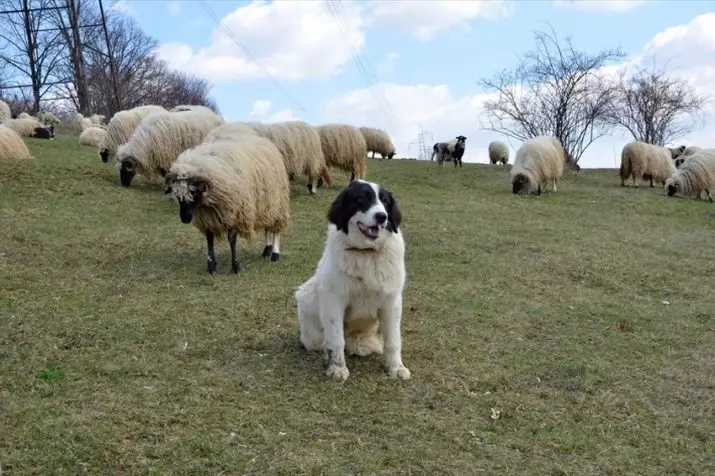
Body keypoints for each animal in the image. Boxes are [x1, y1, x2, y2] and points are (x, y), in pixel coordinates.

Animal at [164, 134, 290, 276]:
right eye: (177, 196)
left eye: (194, 192)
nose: (185, 219)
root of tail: (264, 140)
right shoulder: (207, 217)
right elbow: (209, 239)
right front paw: (211, 266)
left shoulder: (236, 213)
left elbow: (232, 239)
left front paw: (236, 266)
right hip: (267, 205)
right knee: (268, 227)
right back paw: (267, 250)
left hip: (278, 203)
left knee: (275, 229)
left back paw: (275, 253)